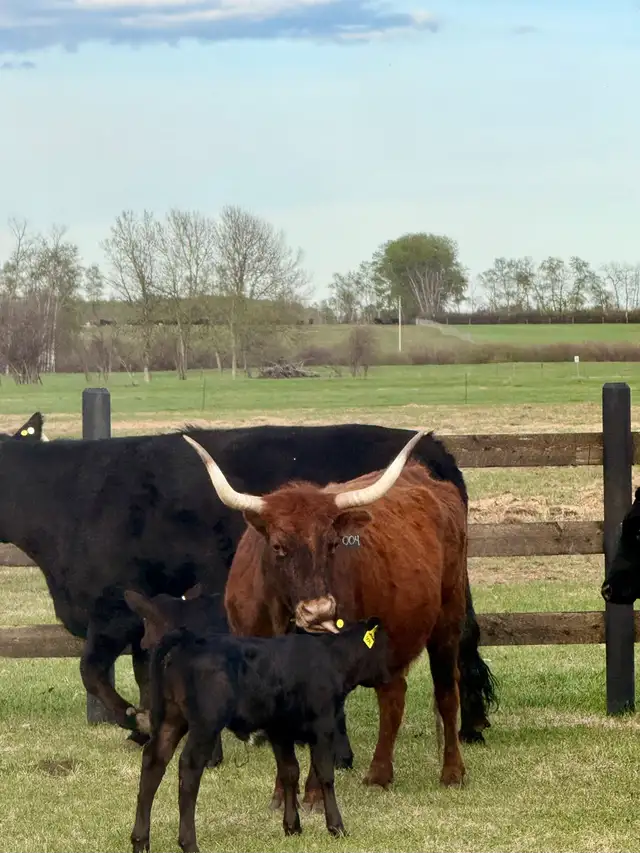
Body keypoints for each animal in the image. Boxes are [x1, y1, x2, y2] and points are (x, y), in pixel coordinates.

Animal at [0, 422, 495, 764]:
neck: (71, 499)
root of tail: (432, 446)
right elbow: (143, 672)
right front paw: (150, 725)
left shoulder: (111, 611)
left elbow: (93, 672)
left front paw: (136, 722)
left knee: (460, 639)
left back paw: (468, 728)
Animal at [127, 602, 391, 852]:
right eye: (386, 645)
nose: (391, 675)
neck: (332, 659)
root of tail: (188, 638)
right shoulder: (323, 726)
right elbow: (325, 775)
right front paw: (336, 827)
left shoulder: (281, 731)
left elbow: (289, 772)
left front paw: (292, 827)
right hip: (205, 724)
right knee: (189, 768)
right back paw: (189, 843)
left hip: (171, 719)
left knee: (154, 761)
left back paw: (140, 841)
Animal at [182, 429, 471, 806]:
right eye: (278, 546)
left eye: (333, 544)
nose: (319, 611)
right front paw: (281, 794)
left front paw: (315, 794)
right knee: (393, 695)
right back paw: (379, 774)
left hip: (448, 623)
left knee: (447, 692)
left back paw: (452, 772)